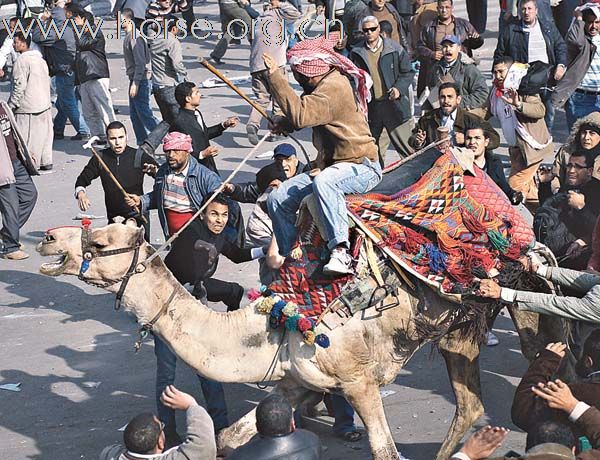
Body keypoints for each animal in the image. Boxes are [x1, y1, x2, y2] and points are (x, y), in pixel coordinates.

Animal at [37, 219, 568, 460]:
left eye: (99, 243)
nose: (47, 237)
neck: (276, 323)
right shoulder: (296, 378)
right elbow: (232, 436)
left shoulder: (358, 381)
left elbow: (384, 449)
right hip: (461, 327)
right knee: (471, 400)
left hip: (520, 295)